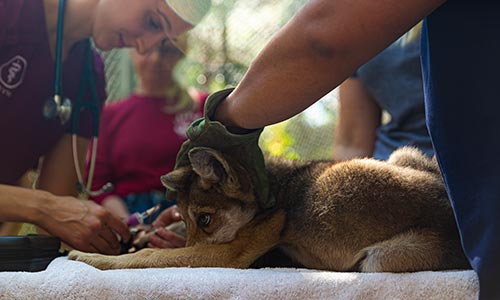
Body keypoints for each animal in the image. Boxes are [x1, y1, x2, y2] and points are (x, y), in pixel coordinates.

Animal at [68, 146, 470, 270]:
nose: (188, 241)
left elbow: (149, 257)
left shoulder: (230, 254)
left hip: (381, 259)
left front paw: (92, 257)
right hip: (404, 156)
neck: (273, 194)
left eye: (205, 219)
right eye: (187, 218)